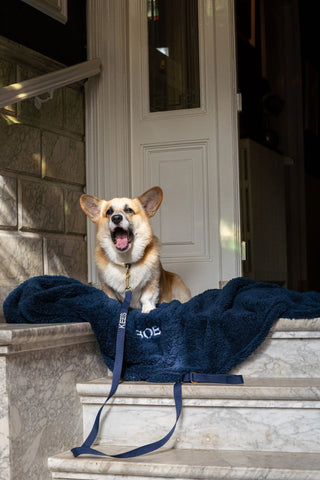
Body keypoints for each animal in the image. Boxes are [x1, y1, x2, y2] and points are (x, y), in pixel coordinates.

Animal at [80, 186, 191, 314]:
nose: (116, 218)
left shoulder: (151, 280)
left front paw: (148, 309)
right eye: (109, 212)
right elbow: (111, 298)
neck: (126, 261)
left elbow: (147, 297)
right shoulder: (106, 285)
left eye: (129, 210)